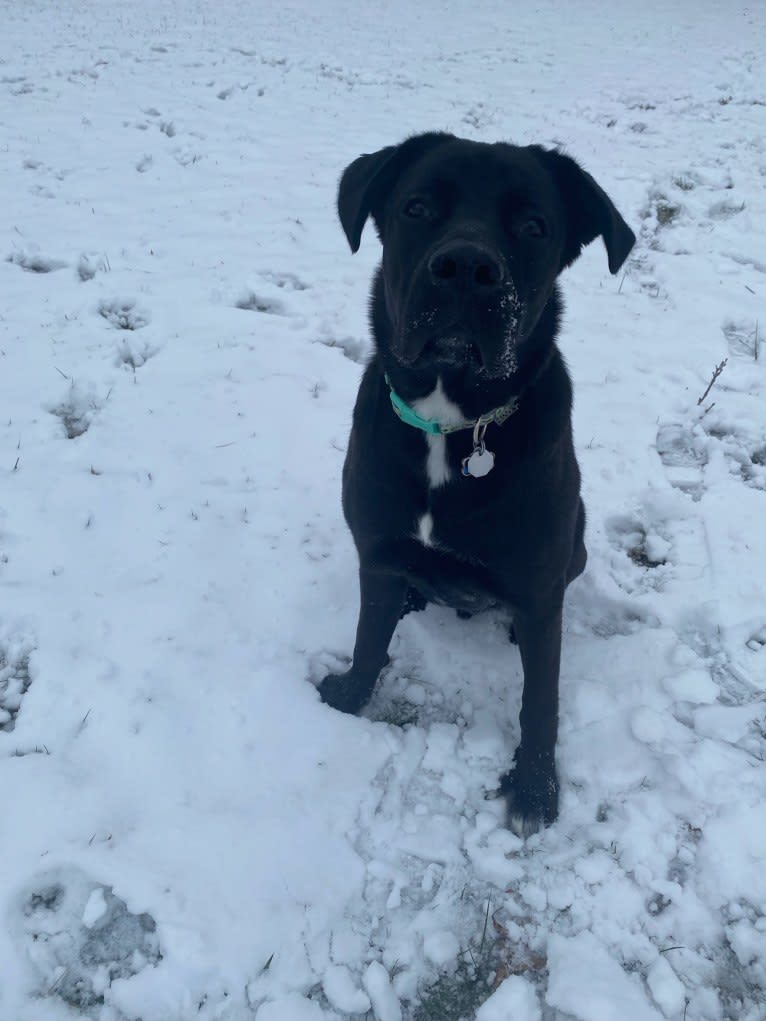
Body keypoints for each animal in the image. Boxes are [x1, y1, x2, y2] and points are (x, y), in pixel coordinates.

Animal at [318, 133, 637, 837]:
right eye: (415, 207)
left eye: (534, 226)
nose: (465, 265)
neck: (454, 423)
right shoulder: (377, 553)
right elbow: (367, 637)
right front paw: (349, 699)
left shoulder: (541, 590)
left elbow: (539, 701)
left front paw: (536, 790)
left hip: (572, 547)